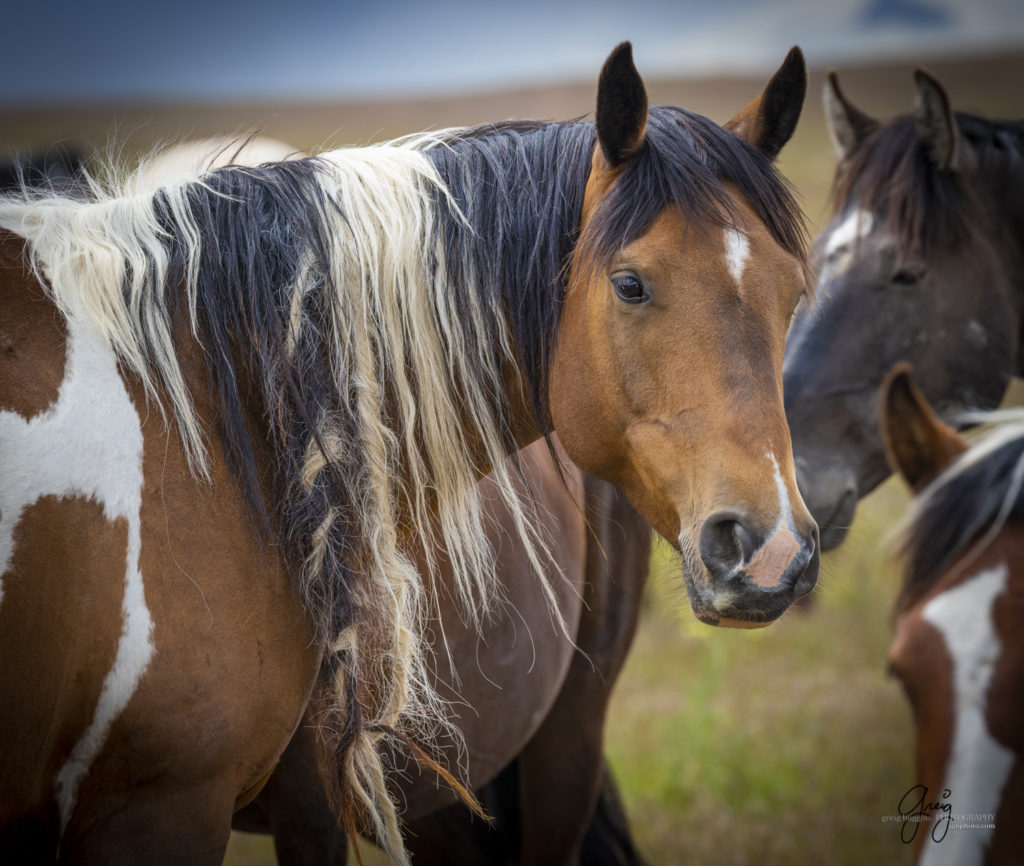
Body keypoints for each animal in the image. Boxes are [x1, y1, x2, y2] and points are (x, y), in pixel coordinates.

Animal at [0, 42, 815, 866]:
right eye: (629, 284)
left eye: (794, 294)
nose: (771, 550)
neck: (210, 411)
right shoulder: (176, 804)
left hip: (563, 736)